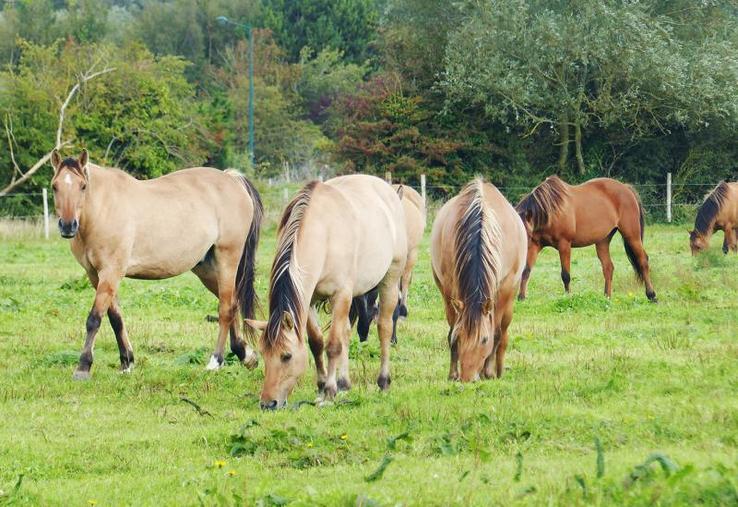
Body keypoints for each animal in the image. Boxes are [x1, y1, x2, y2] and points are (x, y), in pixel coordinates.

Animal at [49, 149, 263, 379]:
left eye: (83, 186)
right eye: (55, 186)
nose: (68, 226)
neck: (103, 209)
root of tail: (231, 179)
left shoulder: (111, 272)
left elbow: (94, 319)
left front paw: (83, 367)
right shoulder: (95, 275)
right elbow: (115, 318)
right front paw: (127, 363)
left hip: (227, 259)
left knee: (225, 308)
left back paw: (216, 361)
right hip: (206, 269)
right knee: (232, 303)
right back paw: (245, 354)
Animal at [246, 175, 407, 409]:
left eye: (286, 356)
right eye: (264, 355)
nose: (268, 403)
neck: (324, 233)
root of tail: (389, 191)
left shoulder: (340, 295)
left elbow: (332, 345)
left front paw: (329, 391)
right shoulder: (309, 299)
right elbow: (316, 342)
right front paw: (322, 386)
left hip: (390, 281)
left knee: (384, 327)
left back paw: (383, 381)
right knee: (346, 332)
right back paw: (344, 383)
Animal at [431, 178, 526, 382]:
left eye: (484, 340)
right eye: (459, 338)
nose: (468, 379)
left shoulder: (502, 292)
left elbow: (496, 334)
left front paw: (489, 372)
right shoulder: (450, 291)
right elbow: (451, 330)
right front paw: (453, 374)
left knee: (503, 335)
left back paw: (497, 371)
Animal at [516, 176, 657, 302]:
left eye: (526, 234)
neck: (551, 211)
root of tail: (627, 188)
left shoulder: (564, 244)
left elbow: (565, 275)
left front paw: (568, 297)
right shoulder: (535, 245)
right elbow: (526, 271)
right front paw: (521, 297)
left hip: (632, 236)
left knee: (643, 261)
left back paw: (652, 295)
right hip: (603, 241)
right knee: (608, 267)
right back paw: (607, 297)